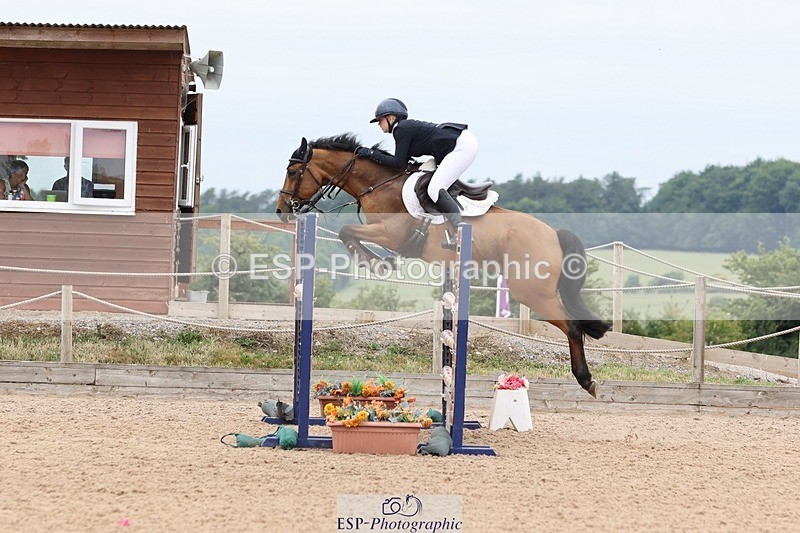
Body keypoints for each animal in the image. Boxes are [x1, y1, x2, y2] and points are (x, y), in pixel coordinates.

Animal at [275, 134, 611, 397]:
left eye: (293, 171)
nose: (282, 210)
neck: (379, 184)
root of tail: (553, 233)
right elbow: (349, 233)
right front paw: (378, 261)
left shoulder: (391, 234)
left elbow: (347, 232)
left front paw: (376, 262)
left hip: (532, 292)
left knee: (573, 327)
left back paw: (586, 380)